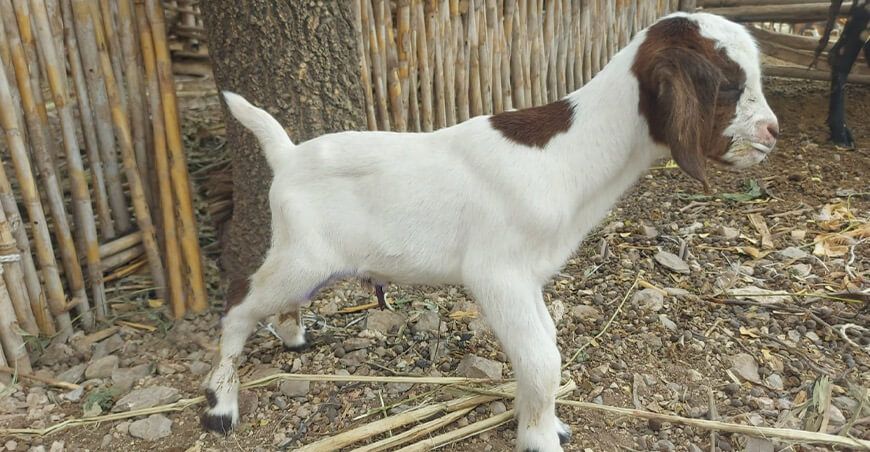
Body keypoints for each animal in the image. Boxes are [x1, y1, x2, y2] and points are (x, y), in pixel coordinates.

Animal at [203, 12, 779, 452]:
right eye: (729, 85)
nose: (772, 132)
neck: (573, 151)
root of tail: (287, 156)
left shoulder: (530, 277)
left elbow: (543, 350)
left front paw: (542, 425)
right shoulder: (498, 273)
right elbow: (543, 360)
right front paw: (540, 440)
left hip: (307, 260)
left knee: (276, 302)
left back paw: (293, 336)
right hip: (303, 255)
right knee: (238, 304)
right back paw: (221, 405)